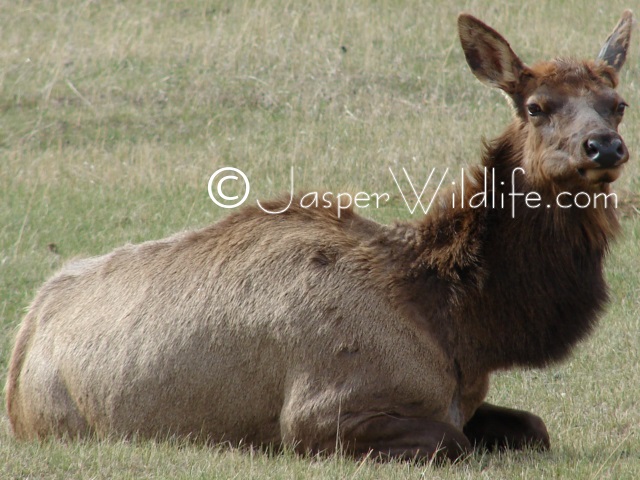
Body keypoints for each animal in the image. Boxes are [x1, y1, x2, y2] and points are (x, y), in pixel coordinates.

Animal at [5, 10, 636, 462]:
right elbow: (452, 442)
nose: (604, 146)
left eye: (618, 103)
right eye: (536, 106)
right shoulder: (320, 413)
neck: (461, 326)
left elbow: (535, 426)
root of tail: (26, 334)